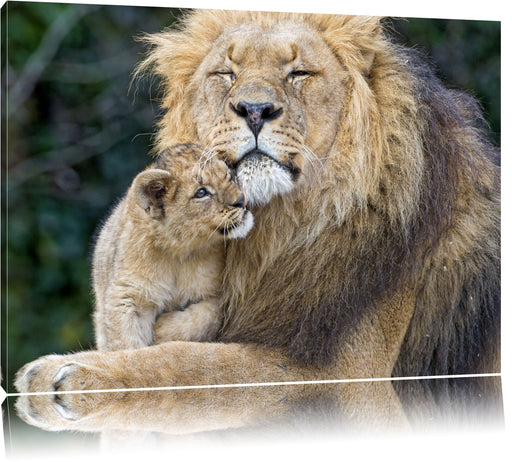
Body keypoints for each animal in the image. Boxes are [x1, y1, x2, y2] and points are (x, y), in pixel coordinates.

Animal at [15, 9, 500, 430]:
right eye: (226, 74)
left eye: (299, 73)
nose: (254, 110)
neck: (286, 228)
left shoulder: (340, 370)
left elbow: (191, 363)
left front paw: (67, 372)